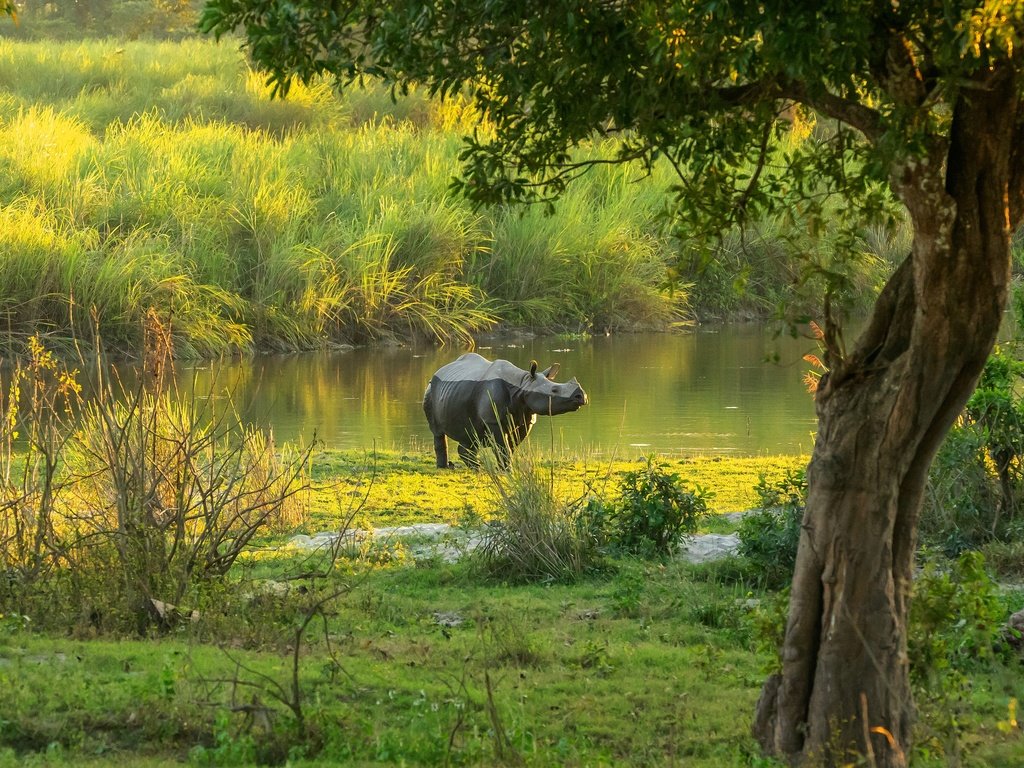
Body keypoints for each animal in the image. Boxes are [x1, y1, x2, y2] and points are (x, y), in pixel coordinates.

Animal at [421, 354, 585, 468]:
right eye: (554, 390)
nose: (581, 396)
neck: (521, 384)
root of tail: (441, 368)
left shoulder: (525, 417)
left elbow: (511, 445)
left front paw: (503, 468)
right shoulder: (493, 420)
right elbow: (503, 446)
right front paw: (507, 470)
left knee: (470, 434)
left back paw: (475, 468)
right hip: (430, 390)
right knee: (438, 431)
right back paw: (445, 468)